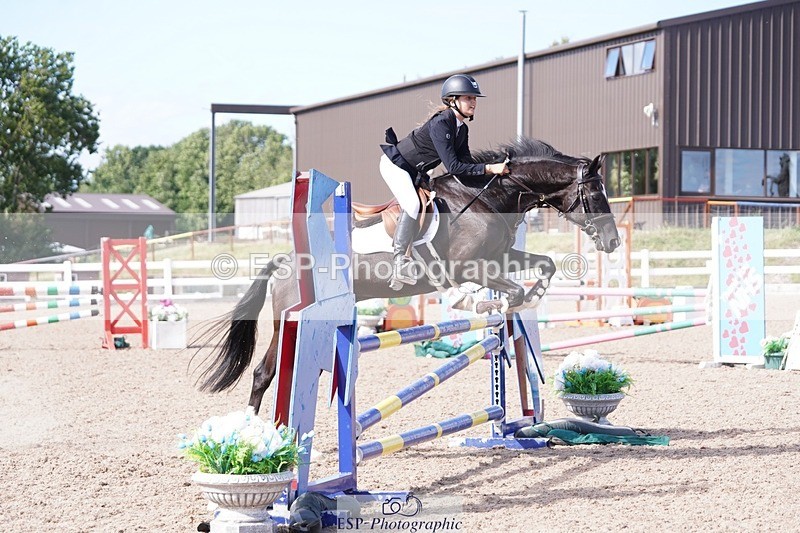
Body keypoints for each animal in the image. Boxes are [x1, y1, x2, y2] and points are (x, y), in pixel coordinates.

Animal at [196, 137, 621, 413]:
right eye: (595, 194)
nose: (614, 241)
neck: (489, 197)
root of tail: (284, 259)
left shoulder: (500, 258)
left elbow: (544, 265)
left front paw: (526, 299)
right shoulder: (469, 266)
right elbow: (504, 289)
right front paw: (484, 303)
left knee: (266, 372)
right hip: (292, 322)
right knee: (264, 373)